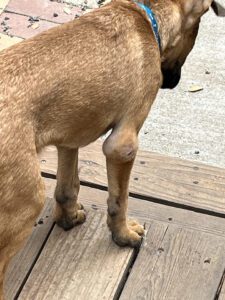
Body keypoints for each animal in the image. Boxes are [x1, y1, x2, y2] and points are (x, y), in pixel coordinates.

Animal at [0, 0, 222, 298]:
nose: (171, 82)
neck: (145, 16)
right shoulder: (121, 146)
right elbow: (119, 201)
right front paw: (124, 236)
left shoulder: (70, 135)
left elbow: (67, 187)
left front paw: (68, 218)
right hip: (27, 199)